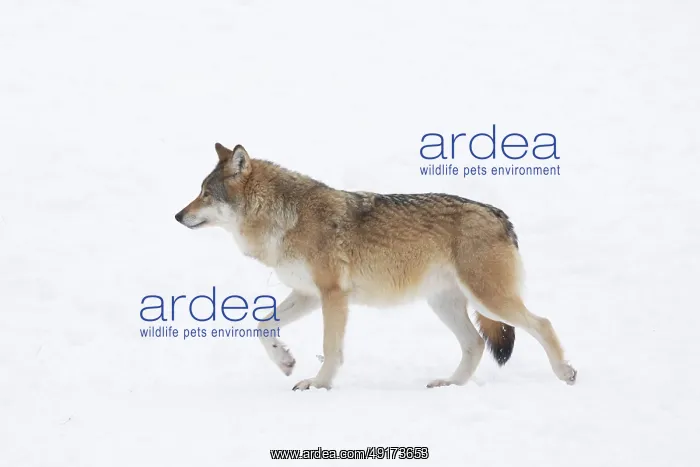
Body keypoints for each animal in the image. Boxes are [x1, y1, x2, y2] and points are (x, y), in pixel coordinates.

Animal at [175, 143, 577, 391]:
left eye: (205, 194)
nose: (178, 216)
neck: (284, 218)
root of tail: (499, 214)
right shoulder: (308, 294)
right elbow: (262, 325)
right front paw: (285, 362)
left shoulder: (333, 296)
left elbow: (331, 348)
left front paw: (319, 384)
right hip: (447, 304)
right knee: (476, 343)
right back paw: (450, 385)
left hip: (488, 300)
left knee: (543, 323)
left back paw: (565, 373)